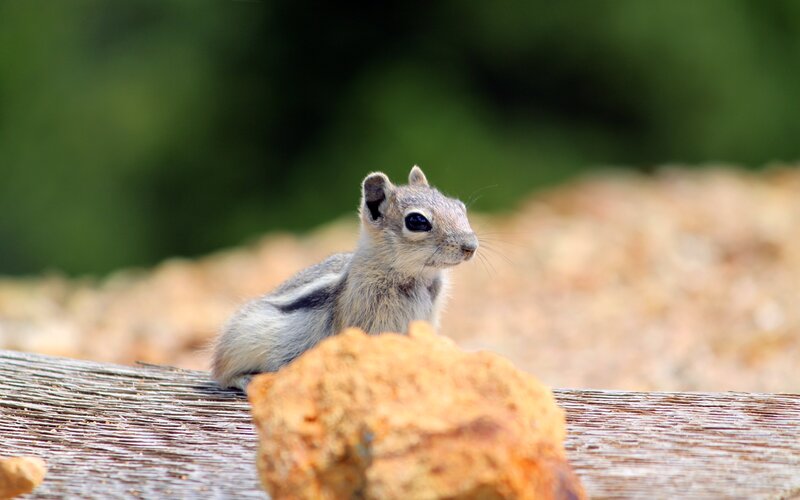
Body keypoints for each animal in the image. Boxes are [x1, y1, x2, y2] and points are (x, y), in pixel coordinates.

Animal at [212, 165, 478, 390]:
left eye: (459, 207)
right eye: (417, 221)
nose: (470, 247)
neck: (417, 278)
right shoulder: (371, 323)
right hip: (243, 341)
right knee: (222, 374)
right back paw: (247, 379)